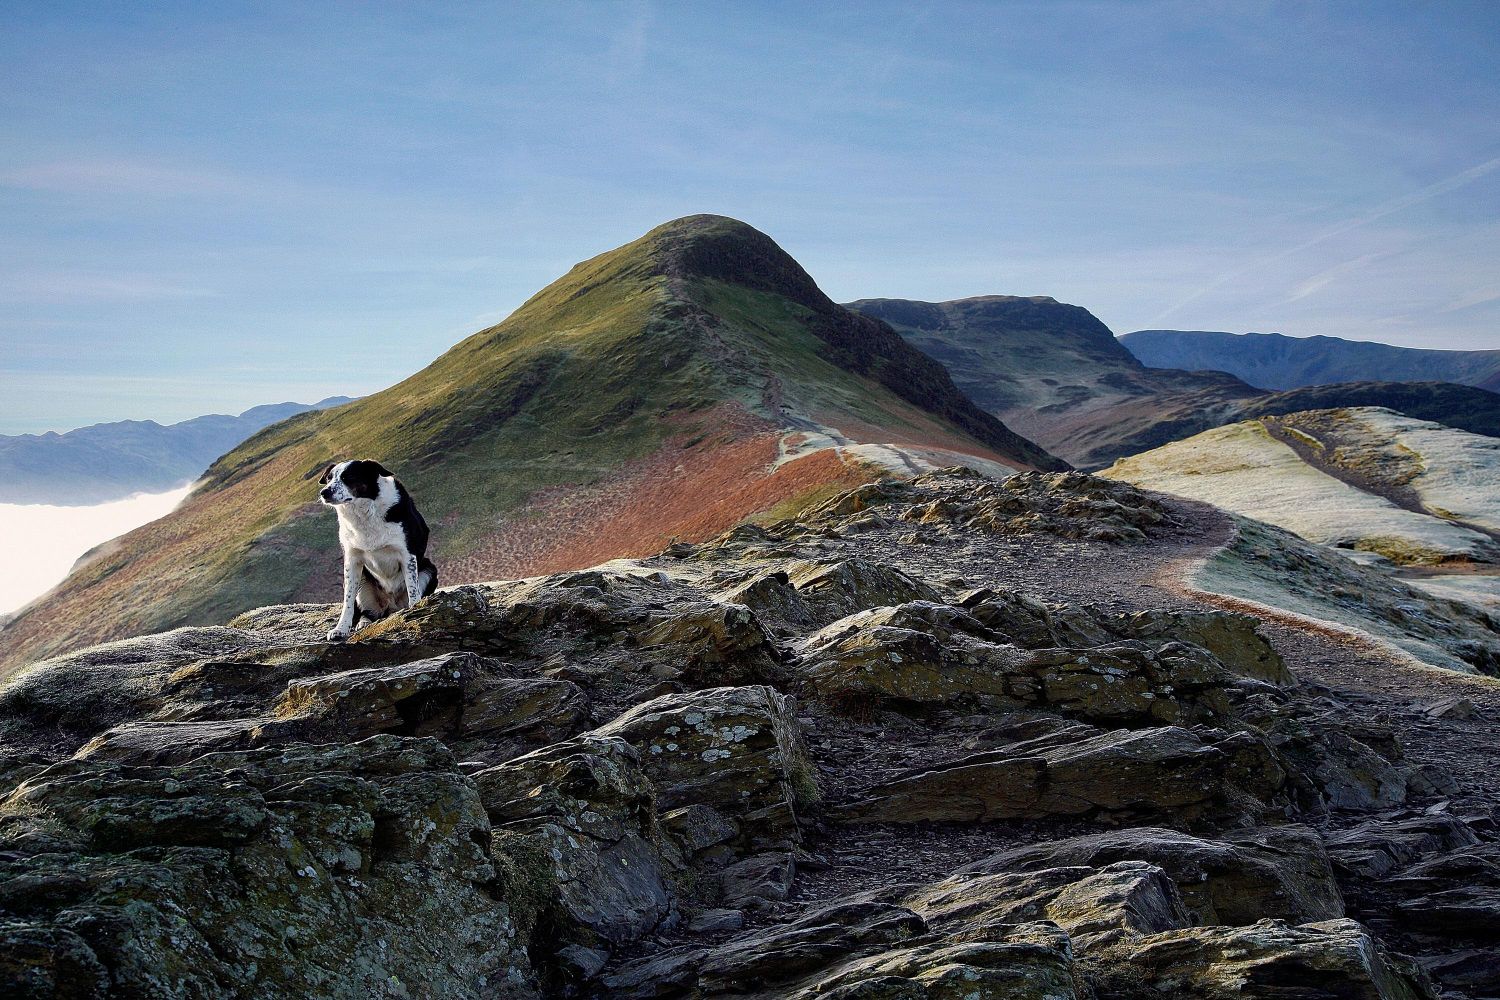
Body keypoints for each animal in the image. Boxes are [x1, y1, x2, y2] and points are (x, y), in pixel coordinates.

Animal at [315, 461, 438, 641]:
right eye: (329, 478)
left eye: (348, 477)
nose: (324, 492)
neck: (364, 512)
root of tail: (390, 606)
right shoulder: (352, 561)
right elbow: (348, 602)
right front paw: (341, 629)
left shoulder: (407, 554)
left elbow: (412, 590)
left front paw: (416, 613)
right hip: (364, 580)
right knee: (368, 613)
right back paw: (363, 622)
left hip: (429, 569)